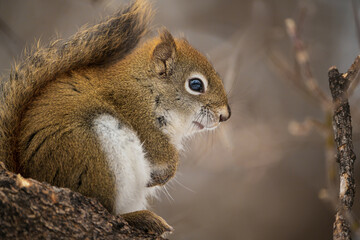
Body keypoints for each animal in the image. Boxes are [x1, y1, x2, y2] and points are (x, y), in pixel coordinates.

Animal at [0, 0, 231, 236]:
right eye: (196, 84)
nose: (225, 115)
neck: (147, 88)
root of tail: (26, 172)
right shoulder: (138, 115)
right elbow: (162, 151)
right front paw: (166, 173)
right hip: (92, 154)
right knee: (107, 206)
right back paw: (140, 218)